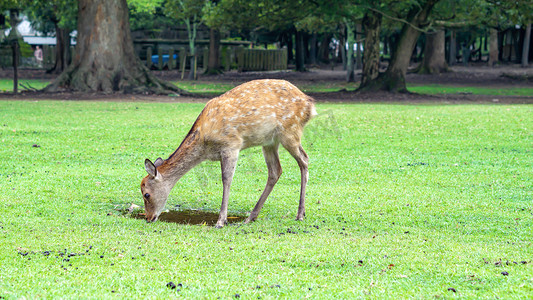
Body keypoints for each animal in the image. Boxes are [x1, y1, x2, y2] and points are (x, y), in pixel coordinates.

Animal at [140, 79, 316, 227]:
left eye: (146, 194)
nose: (148, 218)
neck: (205, 146)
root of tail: (310, 104)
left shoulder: (231, 145)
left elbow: (226, 179)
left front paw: (221, 221)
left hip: (290, 131)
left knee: (304, 159)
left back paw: (300, 214)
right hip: (270, 142)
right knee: (275, 170)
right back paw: (251, 217)